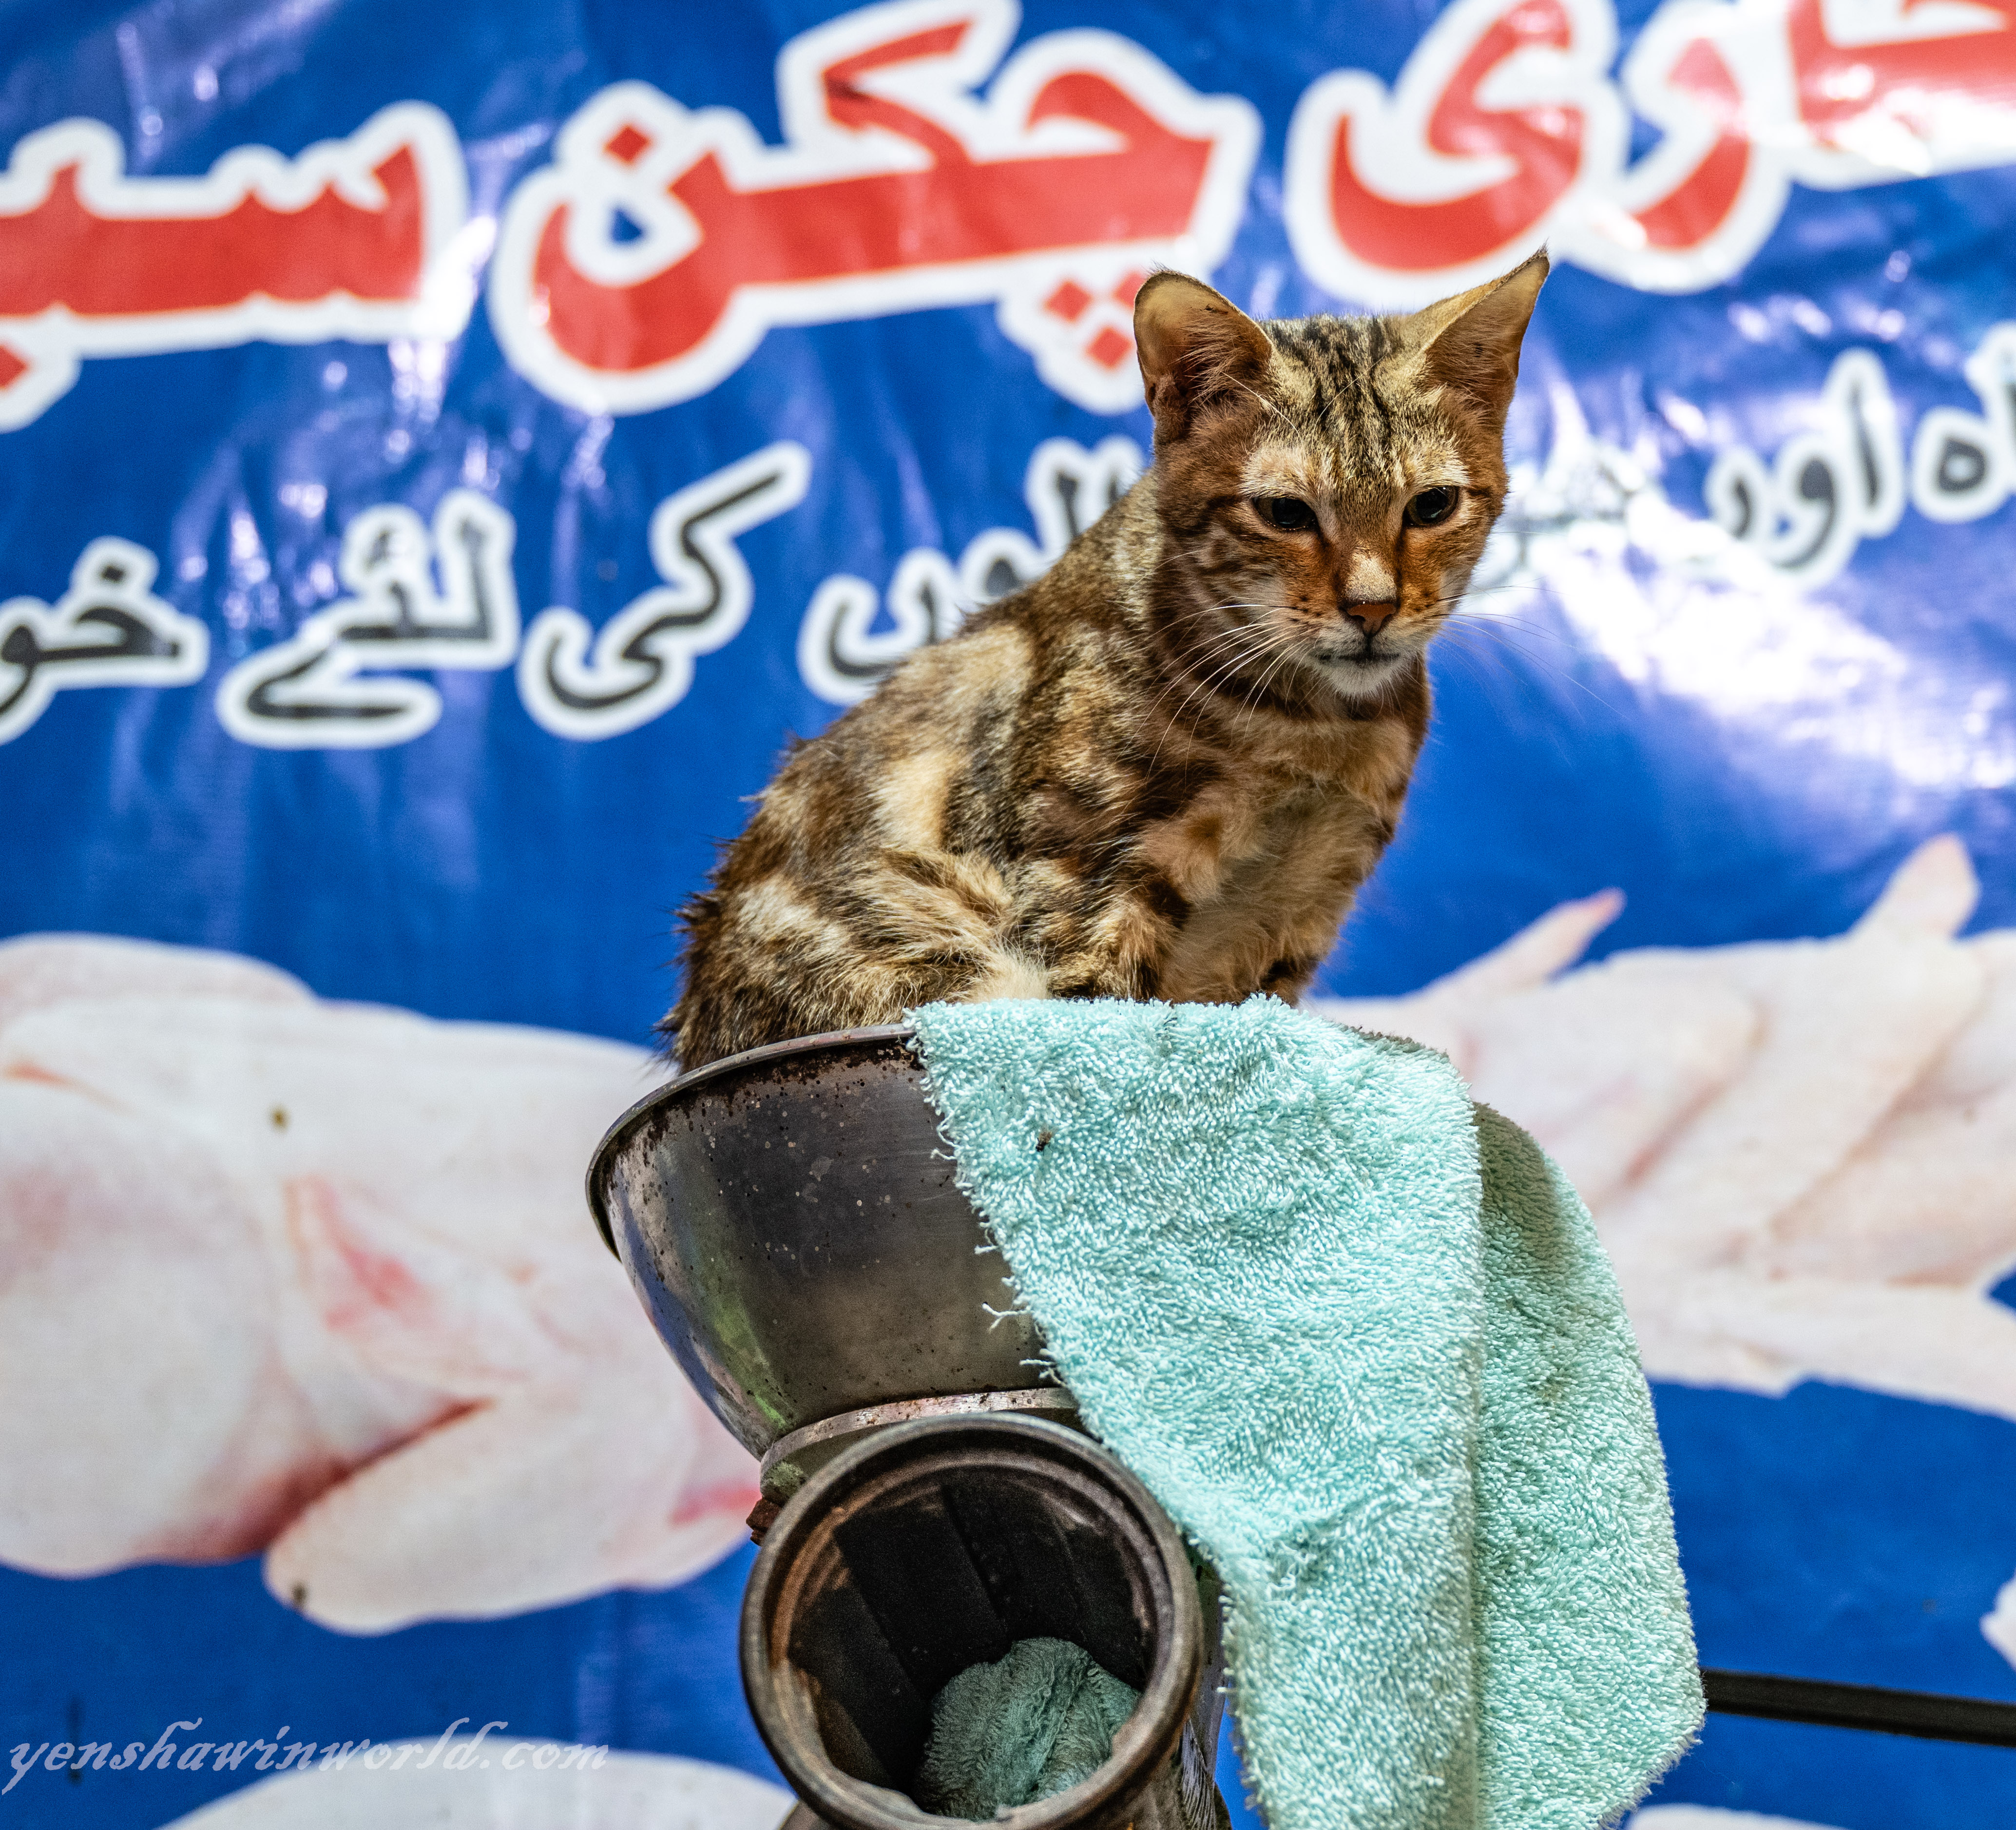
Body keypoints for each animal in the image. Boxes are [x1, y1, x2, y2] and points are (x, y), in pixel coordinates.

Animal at [668, 253, 1548, 1069]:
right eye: (1284, 512)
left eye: (1431, 505)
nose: (1371, 608)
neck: (1311, 731)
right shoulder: (1089, 875)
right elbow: (1112, 1030)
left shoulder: (1299, 913)